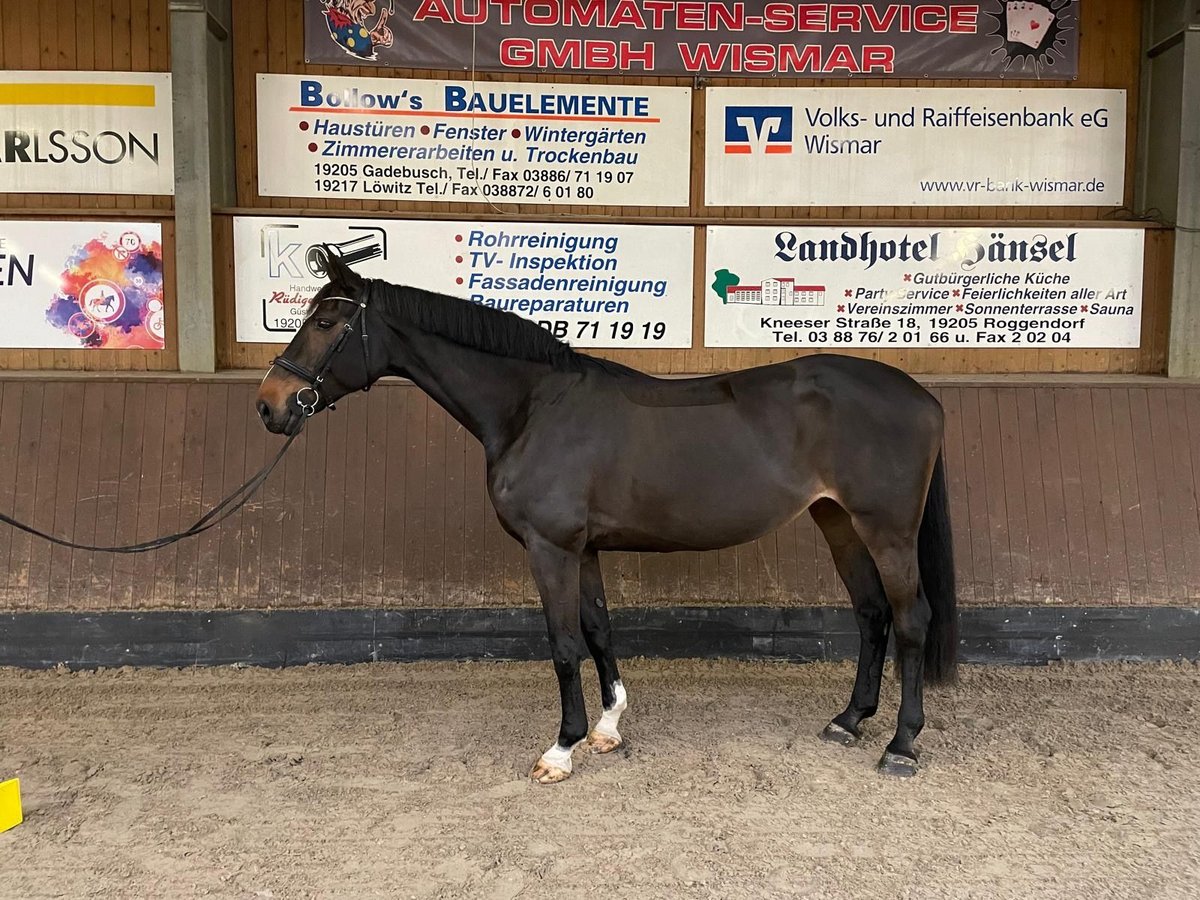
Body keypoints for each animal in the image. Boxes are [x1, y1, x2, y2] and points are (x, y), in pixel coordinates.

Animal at [253, 254, 955, 782]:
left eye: (326, 321)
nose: (269, 406)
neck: (534, 407)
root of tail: (921, 396)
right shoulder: (582, 549)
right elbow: (597, 631)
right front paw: (608, 728)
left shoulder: (550, 548)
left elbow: (563, 644)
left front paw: (560, 750)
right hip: (838, 521)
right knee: (871, 613)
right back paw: (849, 721)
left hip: (887, 530)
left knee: (910, 619)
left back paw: (901, 745)